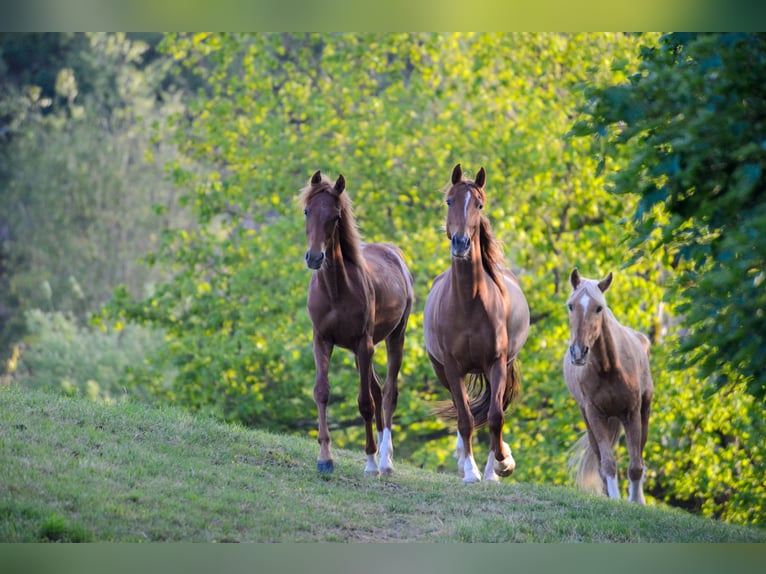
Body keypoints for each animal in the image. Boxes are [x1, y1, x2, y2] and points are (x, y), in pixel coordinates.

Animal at [298, 171, 414, 476]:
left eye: (336, 216)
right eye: (307, 211)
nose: (315, 257)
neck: (336, 289)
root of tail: (393, 252)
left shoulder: (364, 344)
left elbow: (365, 403)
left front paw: (371, 462)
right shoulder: (322, 340)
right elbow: (322, 393)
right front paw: (325, 458)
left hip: (393, 339)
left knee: (387, 393)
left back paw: (385, 461)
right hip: (358, 350)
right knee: (377, 389)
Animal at [424, 164, 532, 484]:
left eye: (479, 205)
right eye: (449, 201)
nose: (461, 243)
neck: (468, 304)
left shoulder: (496, 363)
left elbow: (496, 416)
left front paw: (502, 463)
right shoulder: (451, 367)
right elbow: (465, 417)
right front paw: (470, 471)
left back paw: (493, 467)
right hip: (442, 372)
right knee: (463, 409)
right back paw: (465, 460)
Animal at [564, 270, 656, 504]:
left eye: (599, 308)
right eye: (570, 305)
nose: (578, 352)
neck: (608, 368)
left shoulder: (632, 412)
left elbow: (635, 465)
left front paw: (635, 501)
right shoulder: (594, 415)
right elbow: (607, 463)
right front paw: (615, 498)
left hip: (644, 413)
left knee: (640, 456)